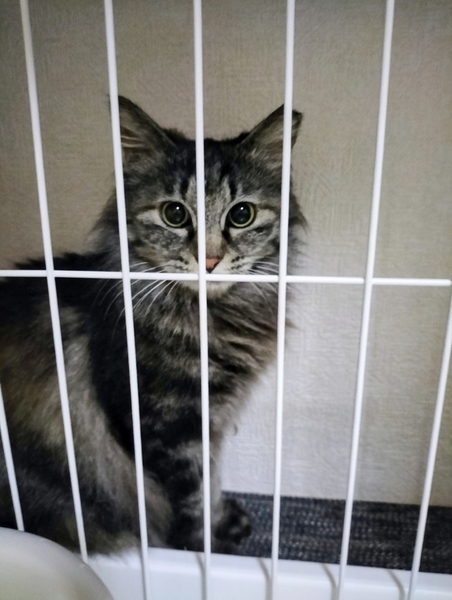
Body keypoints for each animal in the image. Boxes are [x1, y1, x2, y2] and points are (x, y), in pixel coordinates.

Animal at [0, 97, 305, 554]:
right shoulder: (166, 430)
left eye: (242, 214)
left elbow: (213, 483)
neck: (209, 319)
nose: (209, 260)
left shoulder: (210, 424)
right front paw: (204, 550)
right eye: (174, 214)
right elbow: (194, 499)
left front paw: (223, 524)